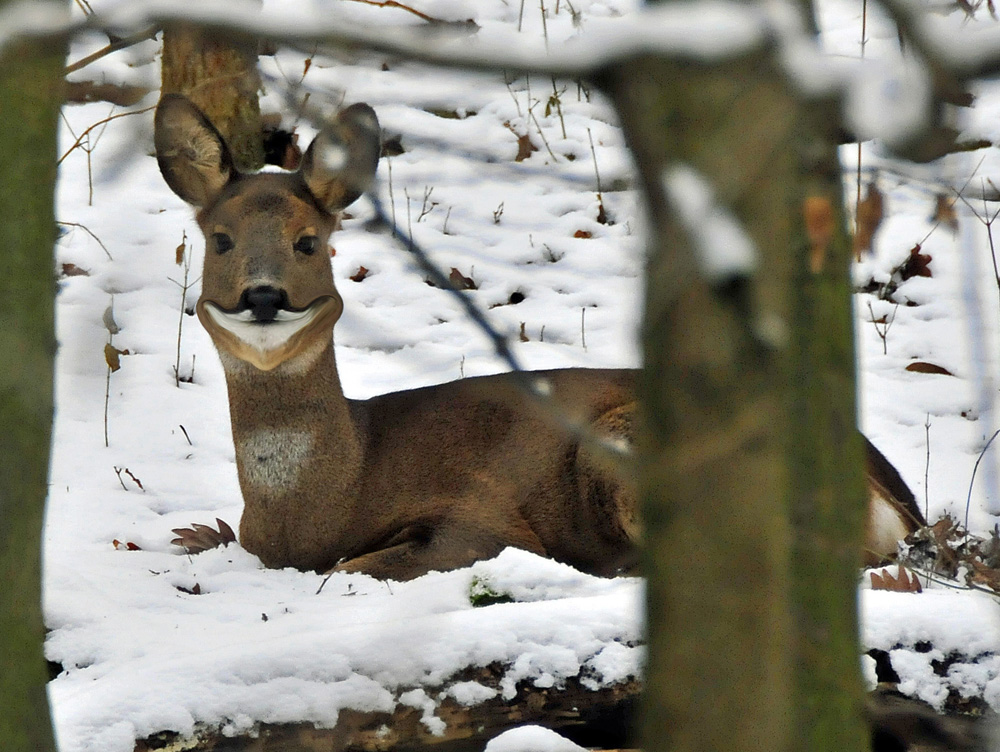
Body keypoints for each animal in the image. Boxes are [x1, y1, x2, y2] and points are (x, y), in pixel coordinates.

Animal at [154, 94, 920, 580]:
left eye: (309, 242)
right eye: (220, 240)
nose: (263, 295)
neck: (330, 499)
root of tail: (899, 505)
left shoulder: (482, 515)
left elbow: (350, 570)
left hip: (636, 442)